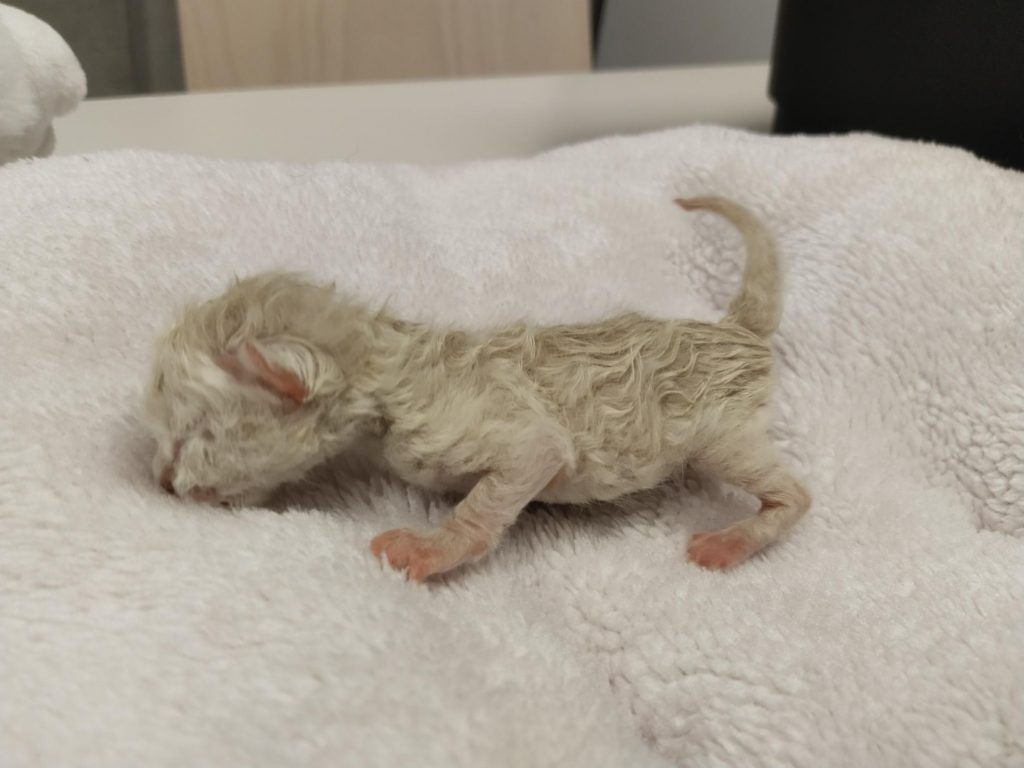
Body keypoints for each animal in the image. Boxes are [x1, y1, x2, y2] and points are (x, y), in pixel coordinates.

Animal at [144, 198, 811, 581]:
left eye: (196, 433)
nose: (162, 482)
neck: (392, 364)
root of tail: (736, 328)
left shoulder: (509, 435)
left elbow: (505, 485)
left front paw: (427, 551)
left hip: (724, 431)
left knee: (796, 496)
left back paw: (735, 540)